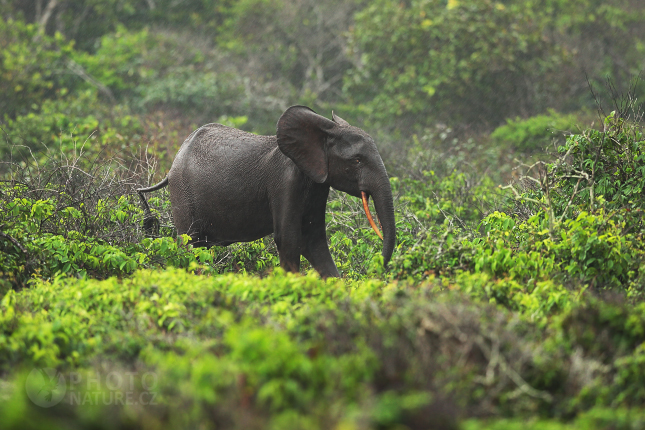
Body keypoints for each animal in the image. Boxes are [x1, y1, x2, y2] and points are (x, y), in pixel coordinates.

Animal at [138, 106, 394, 278]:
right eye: (357, 160)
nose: (375, 269)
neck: (321, 132)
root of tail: (172, 166)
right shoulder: (285, 181)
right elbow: (289, 239)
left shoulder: (317, 184)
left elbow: (314, 240)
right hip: (182, 192)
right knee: (190, 243)